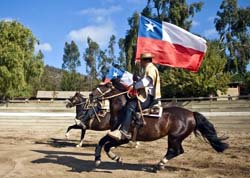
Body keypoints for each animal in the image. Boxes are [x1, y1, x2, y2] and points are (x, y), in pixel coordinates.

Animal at [91, 81, 229, 172]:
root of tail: (191, 114)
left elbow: (107, 146)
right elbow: (101, 142)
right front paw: (97, 159)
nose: (91, 95)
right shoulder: (113, 133)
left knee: (176, 151)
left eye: (106, 86)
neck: (122, 110)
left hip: (175, 137)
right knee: (175, 151)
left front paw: (117, 158)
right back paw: (159, 165)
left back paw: (158, 165)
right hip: (173, 138)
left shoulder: (124, 138)